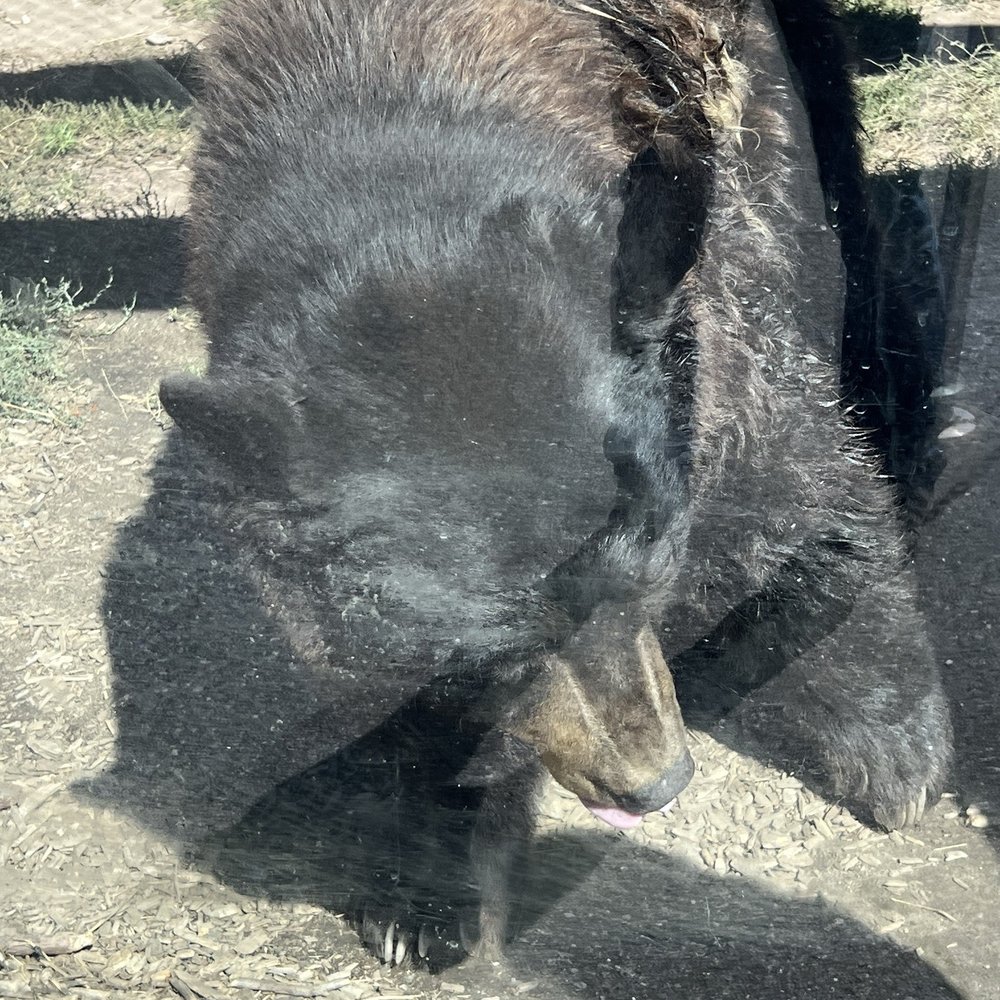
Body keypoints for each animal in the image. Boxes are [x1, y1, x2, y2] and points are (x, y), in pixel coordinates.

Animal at [160, 0, 952, 964]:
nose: (656, 783)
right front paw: (418, 889)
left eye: (654, 572)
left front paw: (894, 745)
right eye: (501, 653)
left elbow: (796, 495)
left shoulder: (697, 349)